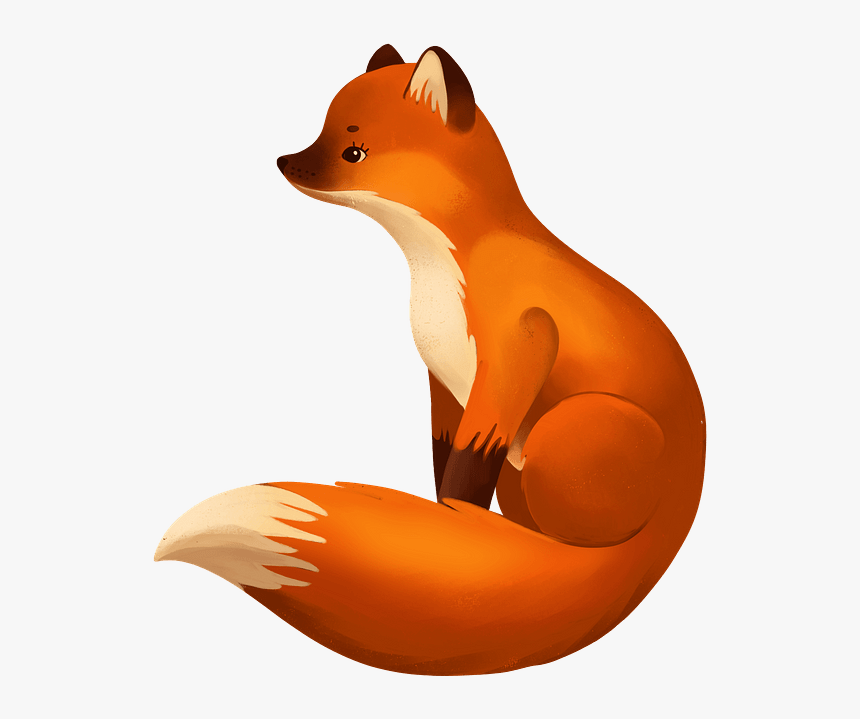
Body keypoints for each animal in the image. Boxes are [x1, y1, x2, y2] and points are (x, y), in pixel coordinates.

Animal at [155, 45, 706, 675]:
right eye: (321, 131)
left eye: (353, 151)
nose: (284, 161)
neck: (442, 273)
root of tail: (676, 520)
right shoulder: (442, 377)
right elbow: (445, 462)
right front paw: (447, 522)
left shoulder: (518, 350)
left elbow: (467, 468)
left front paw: (456, 526)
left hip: (566, 432)